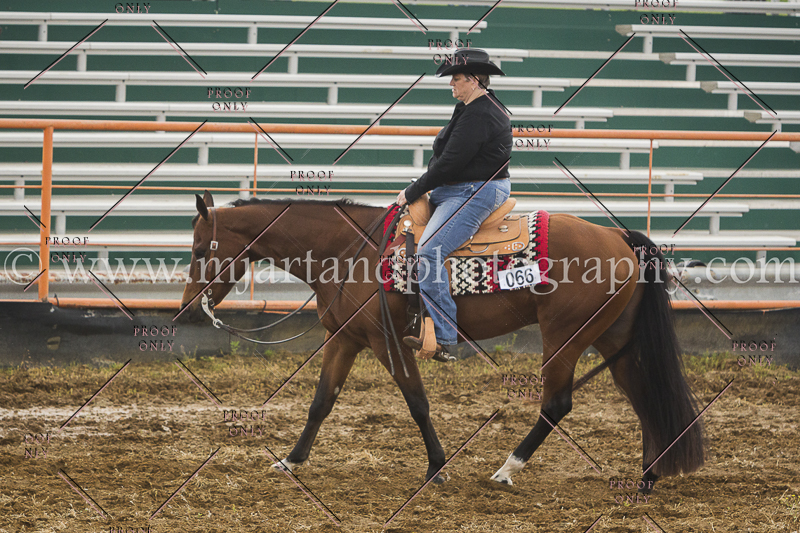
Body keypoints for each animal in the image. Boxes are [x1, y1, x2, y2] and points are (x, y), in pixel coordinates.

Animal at [179, 191, 704, 489]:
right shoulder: (345, 337)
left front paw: (437, 467)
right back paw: (648, 477)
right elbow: (321, 401)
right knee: (645, 396)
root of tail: (618, 238)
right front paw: (290, 462)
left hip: (565, 336)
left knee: (557, 405)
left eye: (200, 249)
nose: (186, 310)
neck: (348, 251)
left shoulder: (388, 342)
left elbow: (417, 402)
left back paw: (507, 469)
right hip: (615, 339)